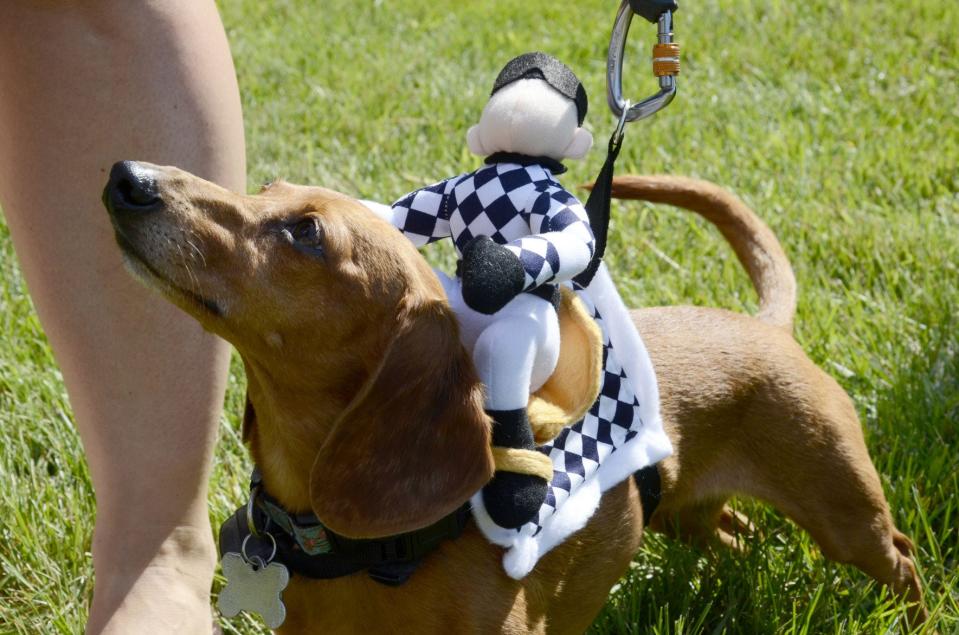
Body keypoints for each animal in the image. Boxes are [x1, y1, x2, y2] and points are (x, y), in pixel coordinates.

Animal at [101, 164, 928, 635]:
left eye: (305, 232)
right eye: (264, 191)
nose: (127, 176)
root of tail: (765, 326)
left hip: (844, 513)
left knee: (900, 553)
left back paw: (912, 617)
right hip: (687, 515)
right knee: (735, 533)